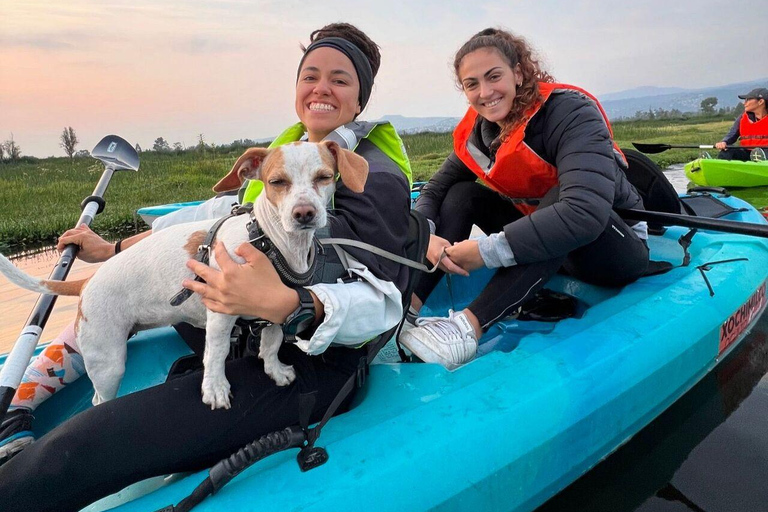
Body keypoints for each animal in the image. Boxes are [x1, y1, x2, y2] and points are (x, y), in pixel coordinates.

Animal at [0, 142, 368, 410]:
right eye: (277, 182)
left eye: (324, 177)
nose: (304, 213)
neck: (269, 240)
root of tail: (87, 281)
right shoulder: (221, 311)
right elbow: (216, 353)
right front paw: (215, 388)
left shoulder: (276, 308)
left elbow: (272, 342)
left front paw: (274, 370)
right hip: (107, 361)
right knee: (99, 397)